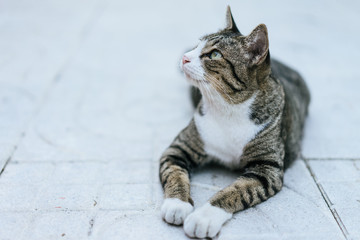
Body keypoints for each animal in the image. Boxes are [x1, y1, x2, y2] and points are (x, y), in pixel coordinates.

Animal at [159, 5, 310, 238]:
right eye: (197, 45)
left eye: (214, 54)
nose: (185, 57)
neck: (227, 109)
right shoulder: (179, 148)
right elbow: (174, 172)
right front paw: (177, 204)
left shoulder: (266, 169)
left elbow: (236, 191)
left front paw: (203, 217)